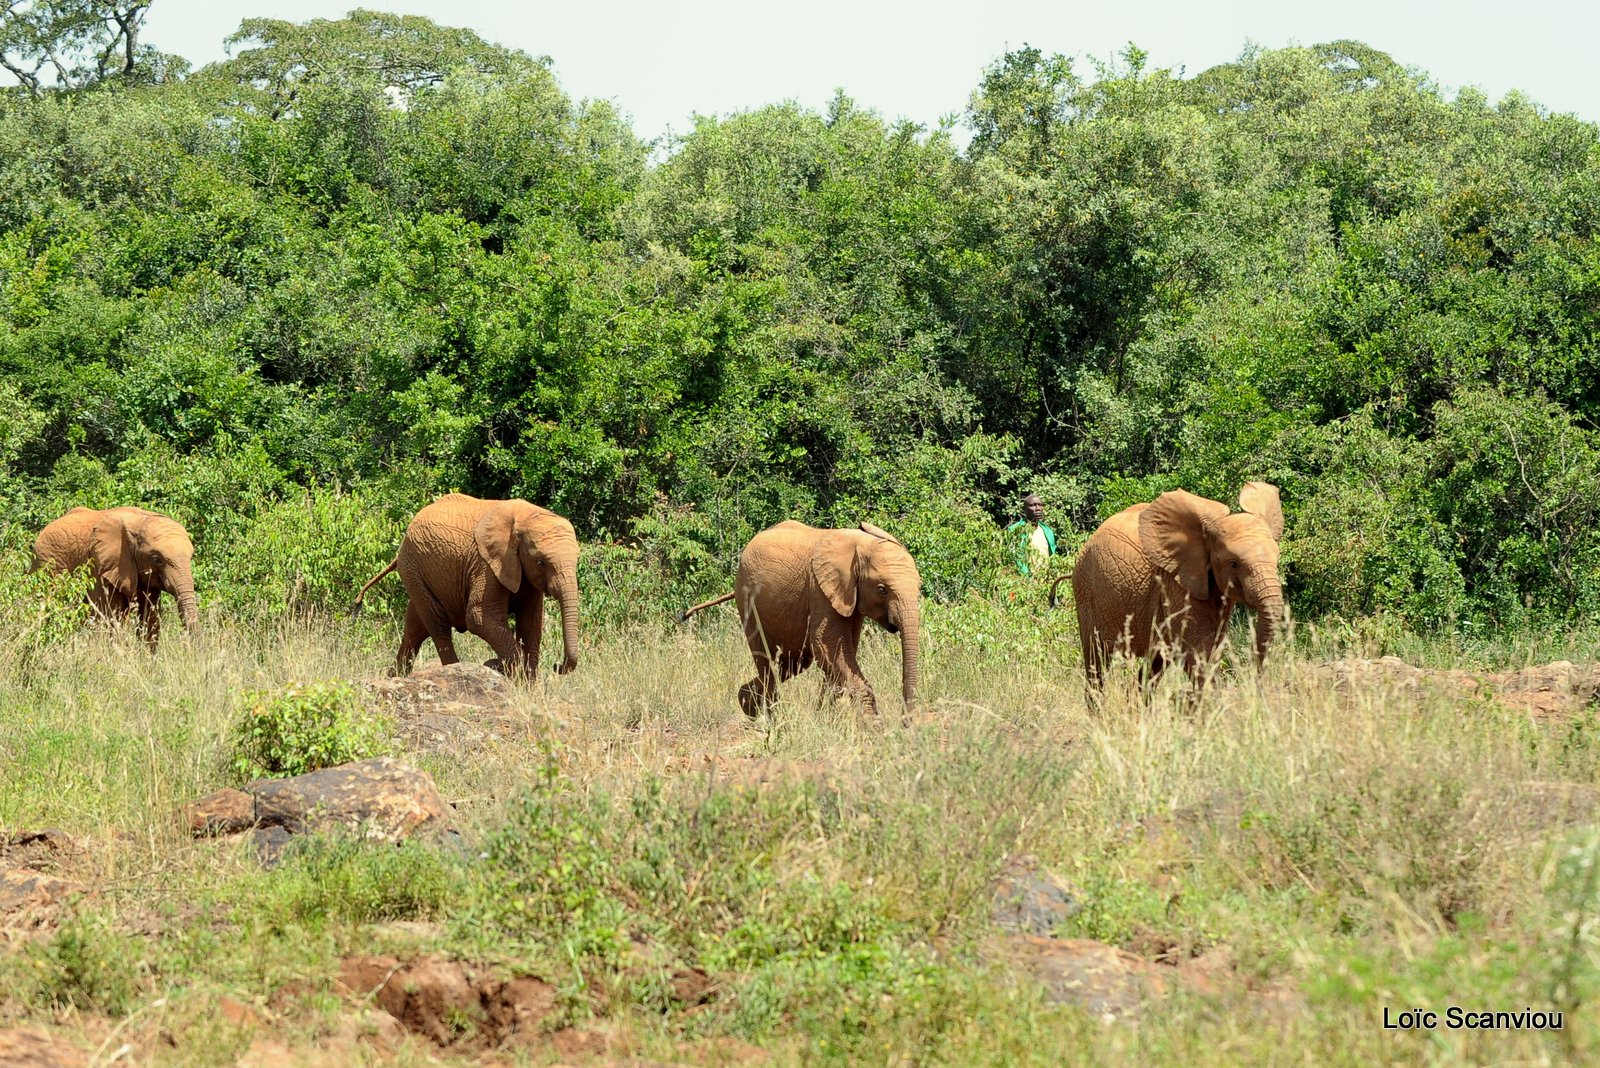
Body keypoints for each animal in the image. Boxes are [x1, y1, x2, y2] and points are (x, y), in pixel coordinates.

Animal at [32, 508, 200, 652]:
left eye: (191, 556)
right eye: (156, 559)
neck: (140, 521)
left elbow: (149, 619)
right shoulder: (98, 565)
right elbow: (111, 617)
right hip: (45, 567)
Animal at [360, 492, 585, 674]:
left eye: (577, 559)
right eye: (541, 562)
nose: (557, 666)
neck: (528, 516)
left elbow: (530, 625)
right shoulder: (487, 565)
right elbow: (479, 618)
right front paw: (508, 672)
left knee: (415, 629)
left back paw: (395, 677)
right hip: (412, 568)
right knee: (437, 624)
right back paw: (454, 669)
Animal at [678, 521, 928, 722]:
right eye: (882, 589)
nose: (907, 723)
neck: (857, 543)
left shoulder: (848, 597)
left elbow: (838, 654)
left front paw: (826, 718)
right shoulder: (820, 589)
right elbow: (827, 647)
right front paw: (873, 727)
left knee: (791, 664)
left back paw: (748, 706)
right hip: (747, 599)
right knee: (766, 660)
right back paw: (774, 720)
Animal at [1075, 482, 1286, 693]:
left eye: (1277, 558)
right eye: (1233, 564)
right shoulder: (1177, 584)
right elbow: (1199, 651)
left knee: (1155, 663)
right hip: (1086, 591)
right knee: (1096, 659)